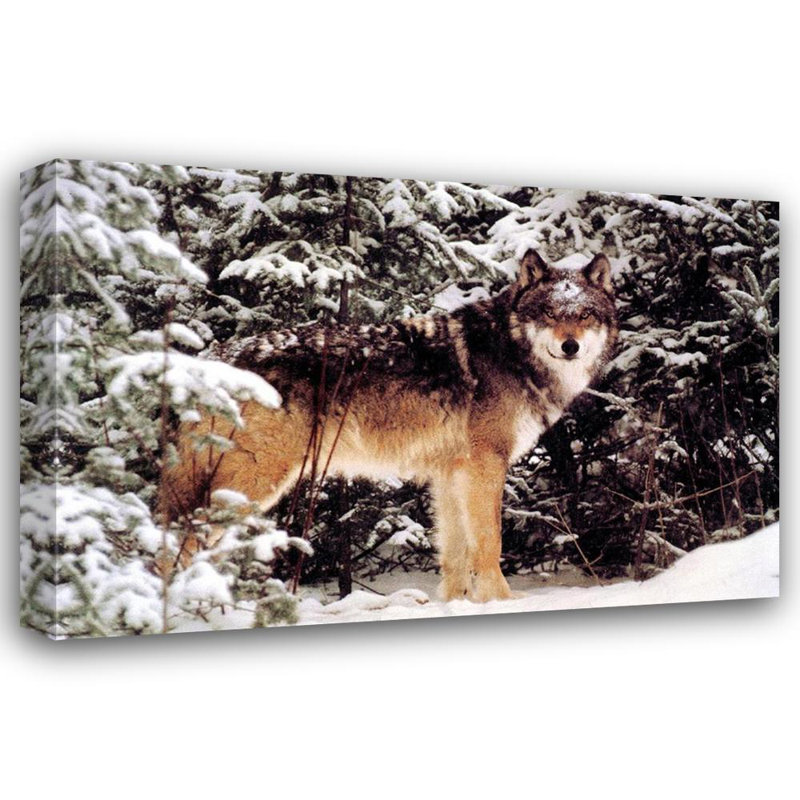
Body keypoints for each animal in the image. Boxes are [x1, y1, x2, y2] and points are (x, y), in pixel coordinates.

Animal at [162, 249, 618, 602]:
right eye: (550, 314)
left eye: (584, 315)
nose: (570, 346)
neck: (511, 352)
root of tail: (210, 357)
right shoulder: (485, 465)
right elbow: (489, 542)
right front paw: (502, 601)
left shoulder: (449, 473)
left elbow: (455, 553)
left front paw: (457, 604)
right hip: (253, 484)